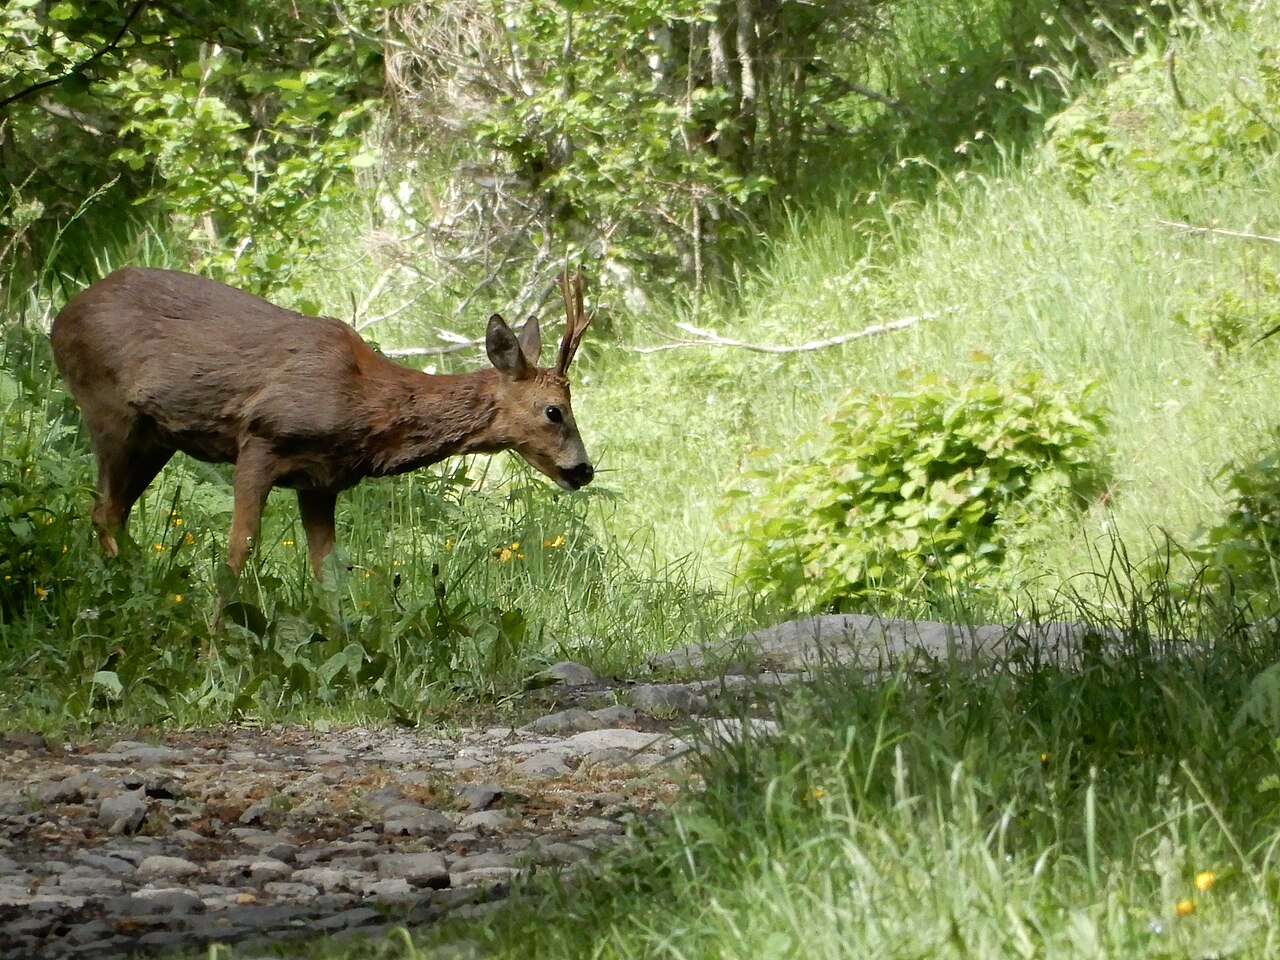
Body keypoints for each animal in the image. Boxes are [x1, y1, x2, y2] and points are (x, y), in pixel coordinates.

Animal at [50, 267, 594, 578]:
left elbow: (330, 573)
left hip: (155, 436)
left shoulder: (321, 481)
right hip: (108, 410)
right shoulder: (260, 440)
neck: (365, 405)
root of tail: (60, 317)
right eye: (554, 411)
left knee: (112, 511)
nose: (584, 470)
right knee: (103, 509)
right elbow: (239, 550)